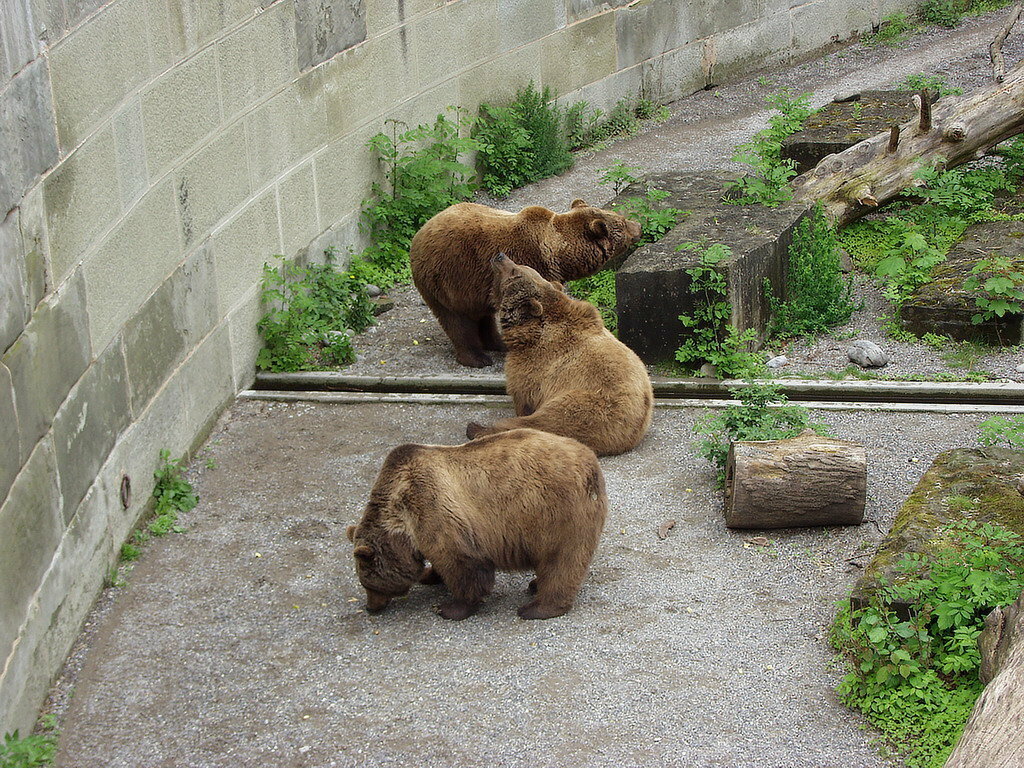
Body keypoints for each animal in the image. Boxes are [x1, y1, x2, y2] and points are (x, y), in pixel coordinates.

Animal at [348, 430, 610, 622]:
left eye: (367, 583)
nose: (371, 607)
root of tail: (590, 462)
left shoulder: (434, 508)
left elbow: (463, 564)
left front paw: (448, 607)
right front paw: (429, 575)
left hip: (556, 514)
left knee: (562, 562)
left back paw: (536, 608)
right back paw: (536, 585)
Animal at [407, 198, 638, 366]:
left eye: (620, 217)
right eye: (622, 223)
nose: (638, 225)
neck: (558, 254)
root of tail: (419, 234)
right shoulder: (530, 264)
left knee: (483, 315)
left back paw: (497, 343)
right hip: (446, 279)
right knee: (456, 321)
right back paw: (478, 358)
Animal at [466, 252, 651, 456]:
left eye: (515, 270)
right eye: (521, 265)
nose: (500, 256)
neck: (528, 330)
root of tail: (632, 433)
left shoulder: (534, 363)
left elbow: (523, 393)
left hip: (584, 405)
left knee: (544, 423)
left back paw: (476, 428)